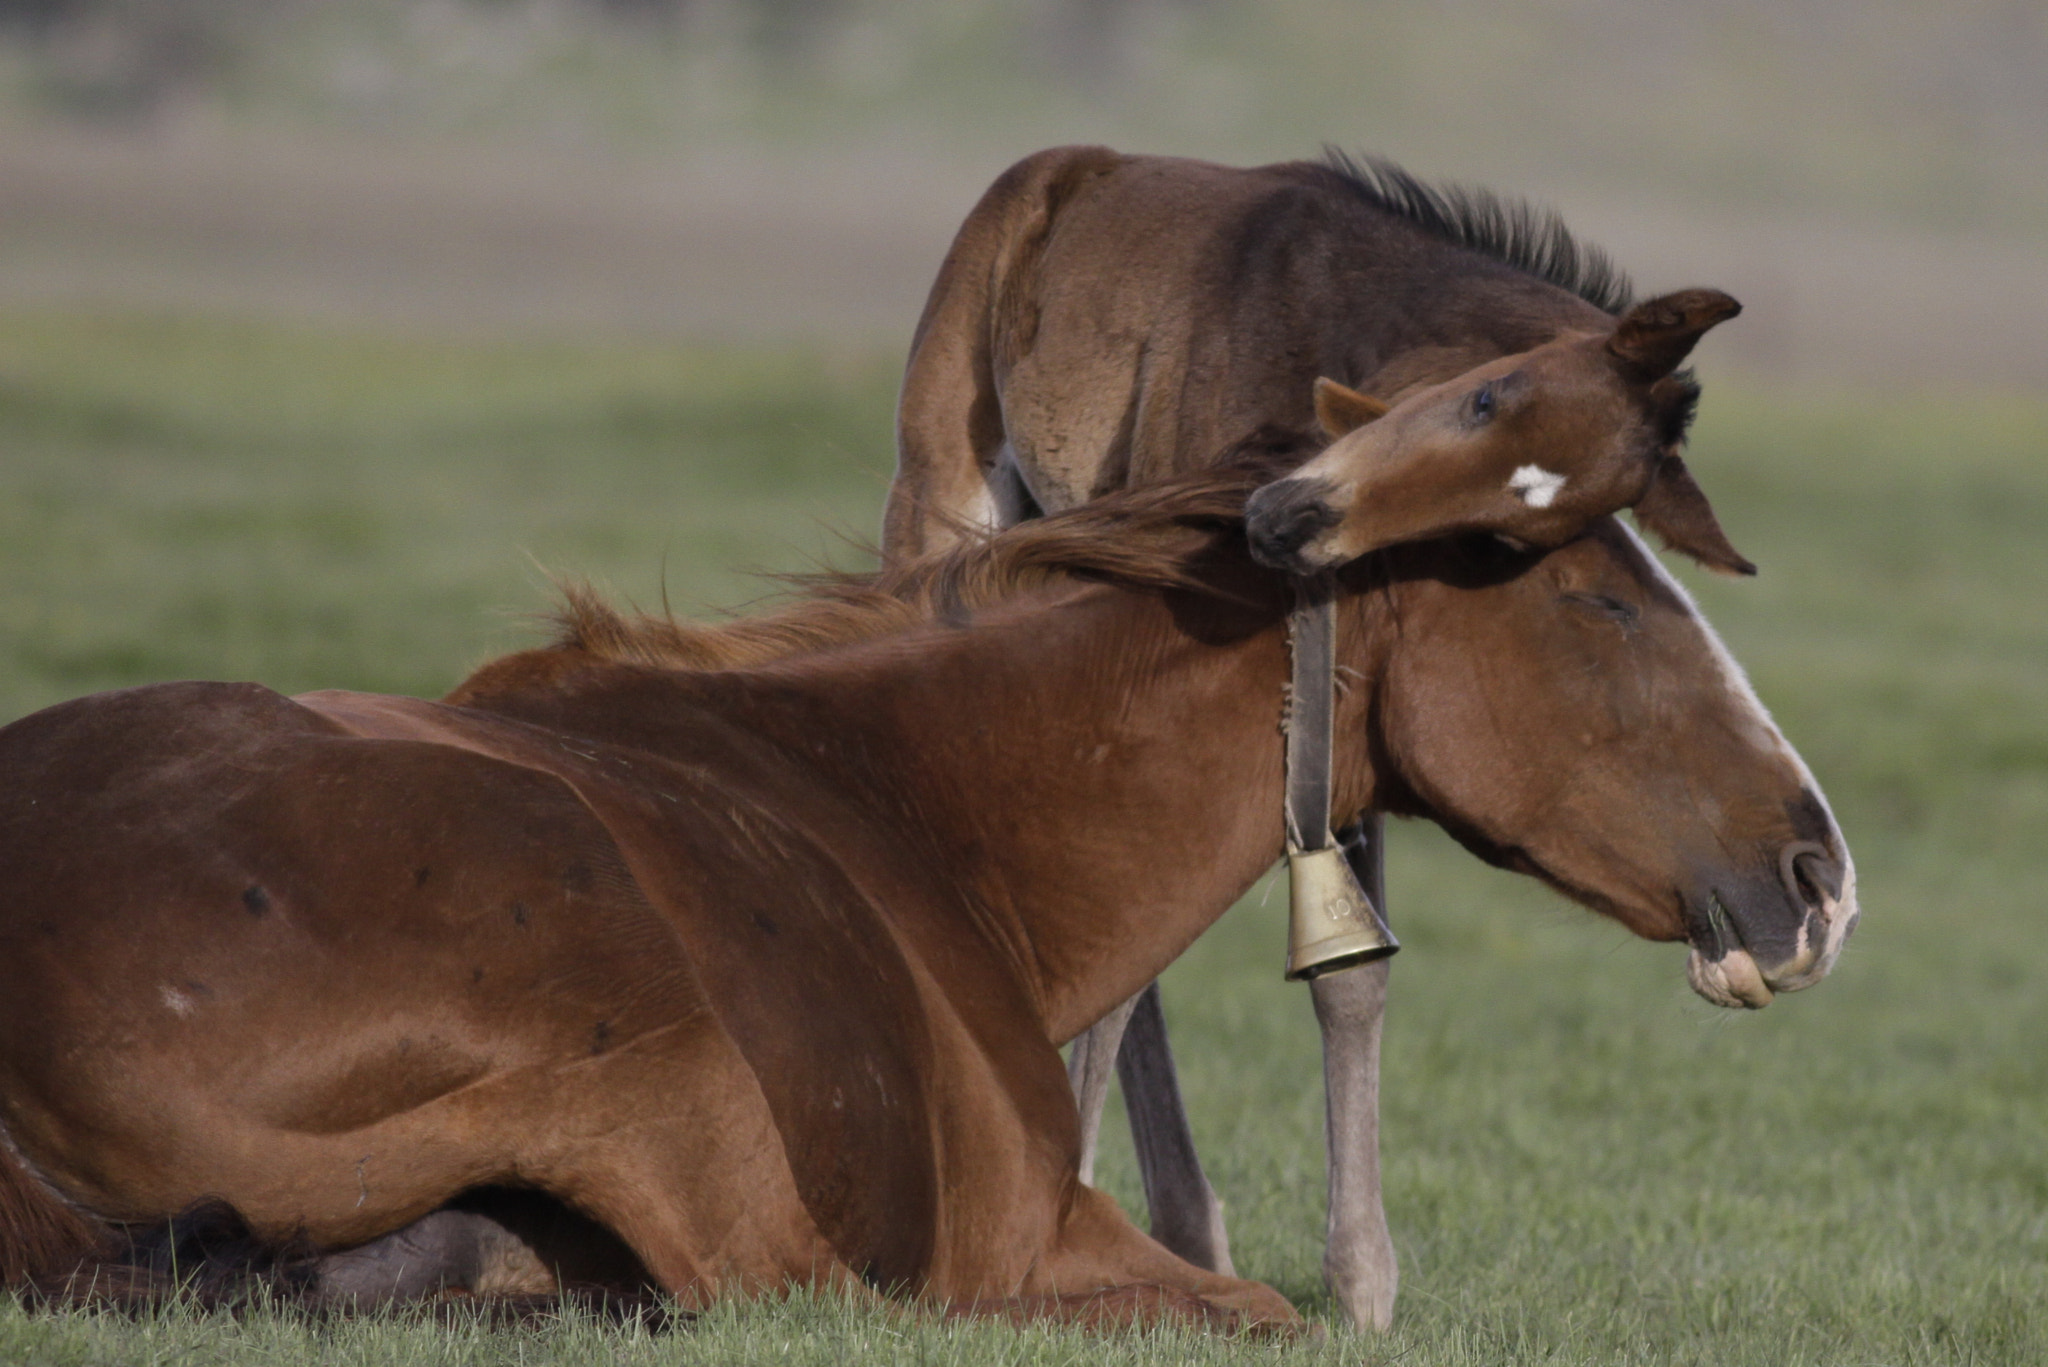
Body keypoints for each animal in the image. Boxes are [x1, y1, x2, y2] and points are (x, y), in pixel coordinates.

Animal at [0, 457, 1859, 1328]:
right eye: (1597, 605)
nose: (1814, 868)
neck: (914, 804)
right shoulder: (1039, 1237)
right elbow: (1256, 1304)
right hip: (660, 1036)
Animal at [888, 144, 1753, 1328]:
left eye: (1512, 536)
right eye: (1488, 393)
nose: (1287, 519)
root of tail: (1064, 167)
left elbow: (1351, 976)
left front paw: (1363, 1282)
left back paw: (1191, 1226)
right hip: (944, 504)